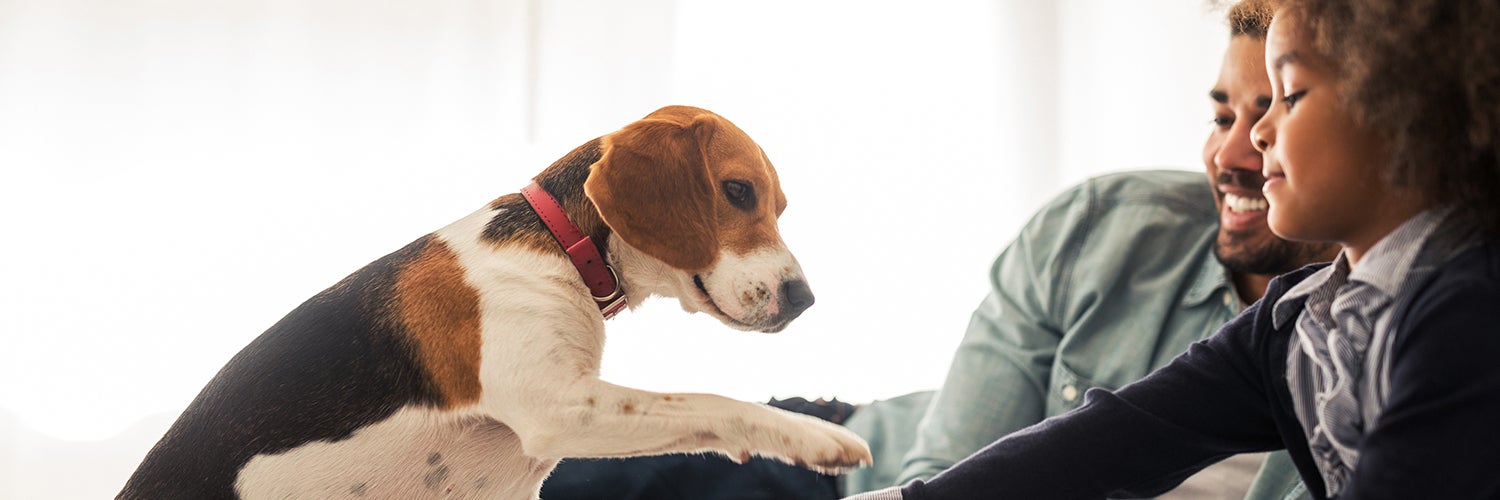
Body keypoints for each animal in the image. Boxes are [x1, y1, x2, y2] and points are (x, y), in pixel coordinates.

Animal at [123, 105, 876, 498]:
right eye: (738, 192)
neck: (560, 246)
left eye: (778, 206)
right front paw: (808, 435)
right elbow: (709, 398)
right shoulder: (558, 407)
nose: (805, 299)